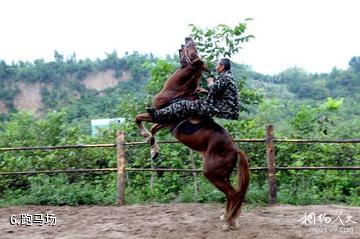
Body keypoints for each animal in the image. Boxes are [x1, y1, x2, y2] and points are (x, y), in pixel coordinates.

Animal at [135, 36, 250, 229]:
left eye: (193, 51)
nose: (188, 38)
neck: (177, 93)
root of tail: (236, 150)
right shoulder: (166, 122)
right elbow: (152, 130)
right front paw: (154, 151)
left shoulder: (161, 115)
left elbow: (139, 119)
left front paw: (148, 142)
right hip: (222, 175)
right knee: (232, 194)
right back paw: (227, 218)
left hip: (212, 173)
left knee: (233, 194)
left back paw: (229, 222)